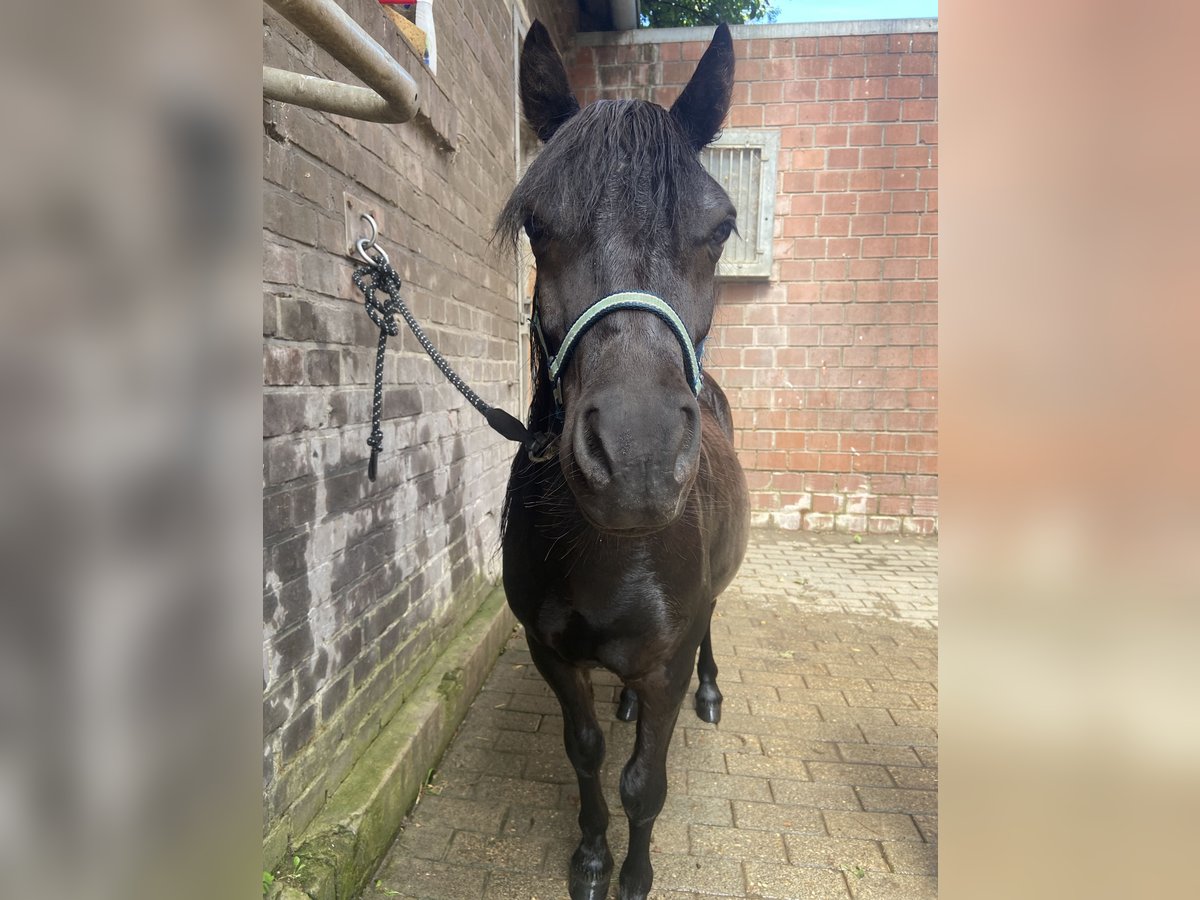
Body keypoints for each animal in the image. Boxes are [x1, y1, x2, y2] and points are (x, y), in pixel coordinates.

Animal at [499, 21, 748, 900]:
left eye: (721, 227)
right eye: (537, 224)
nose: (637, 461)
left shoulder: (666, 657)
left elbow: (646, 784)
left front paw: (634, 875)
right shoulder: (551, 653)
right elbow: (588, 756)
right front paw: (591, 859)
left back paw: (712, 694)